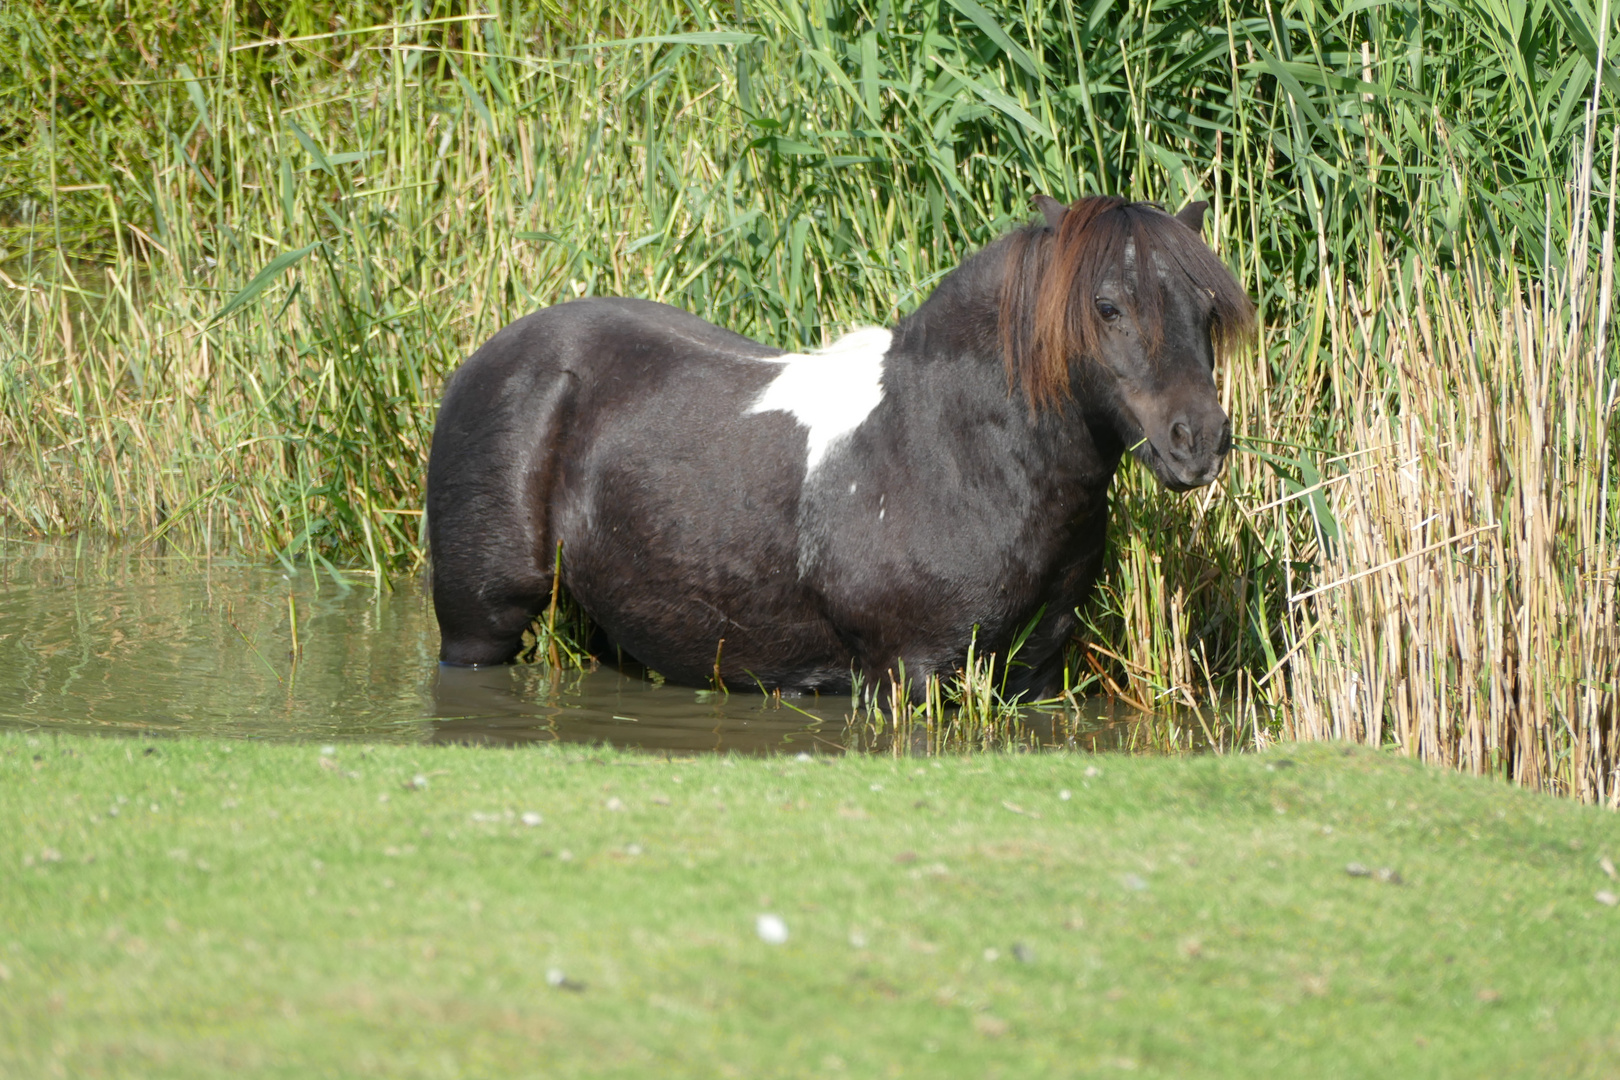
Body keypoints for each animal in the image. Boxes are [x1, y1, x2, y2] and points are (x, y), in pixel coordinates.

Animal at [427, 194, 1250, 702]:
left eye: (1207, 309)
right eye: (1106, 307)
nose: (1198, 440)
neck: (952, 449)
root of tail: (485, 361)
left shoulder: (1036, 673)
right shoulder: (908, 675)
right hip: (477, 627)